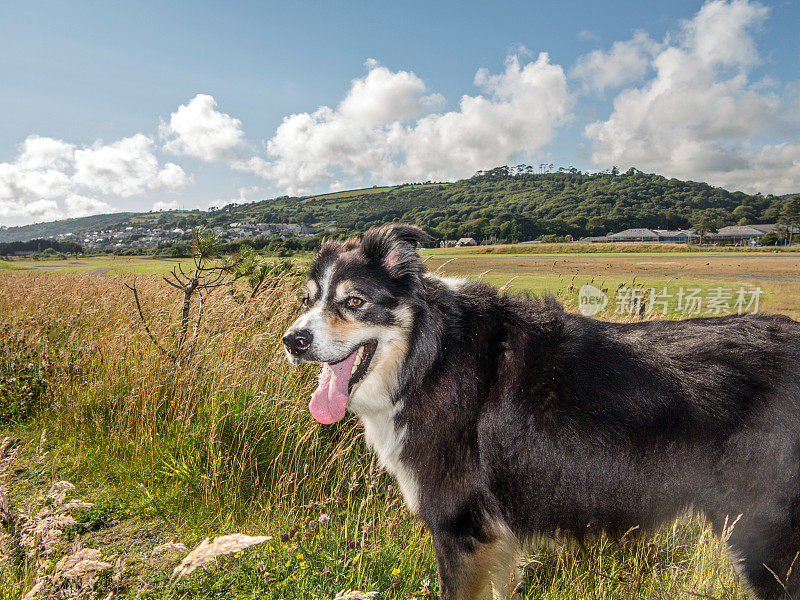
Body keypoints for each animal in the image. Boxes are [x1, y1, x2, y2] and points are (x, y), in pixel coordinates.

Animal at [282, 224, 800, 600]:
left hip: (765, 536)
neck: (428, 357)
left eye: (354, 301)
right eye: (307, 300)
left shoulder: (461, 527)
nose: (292, 341)